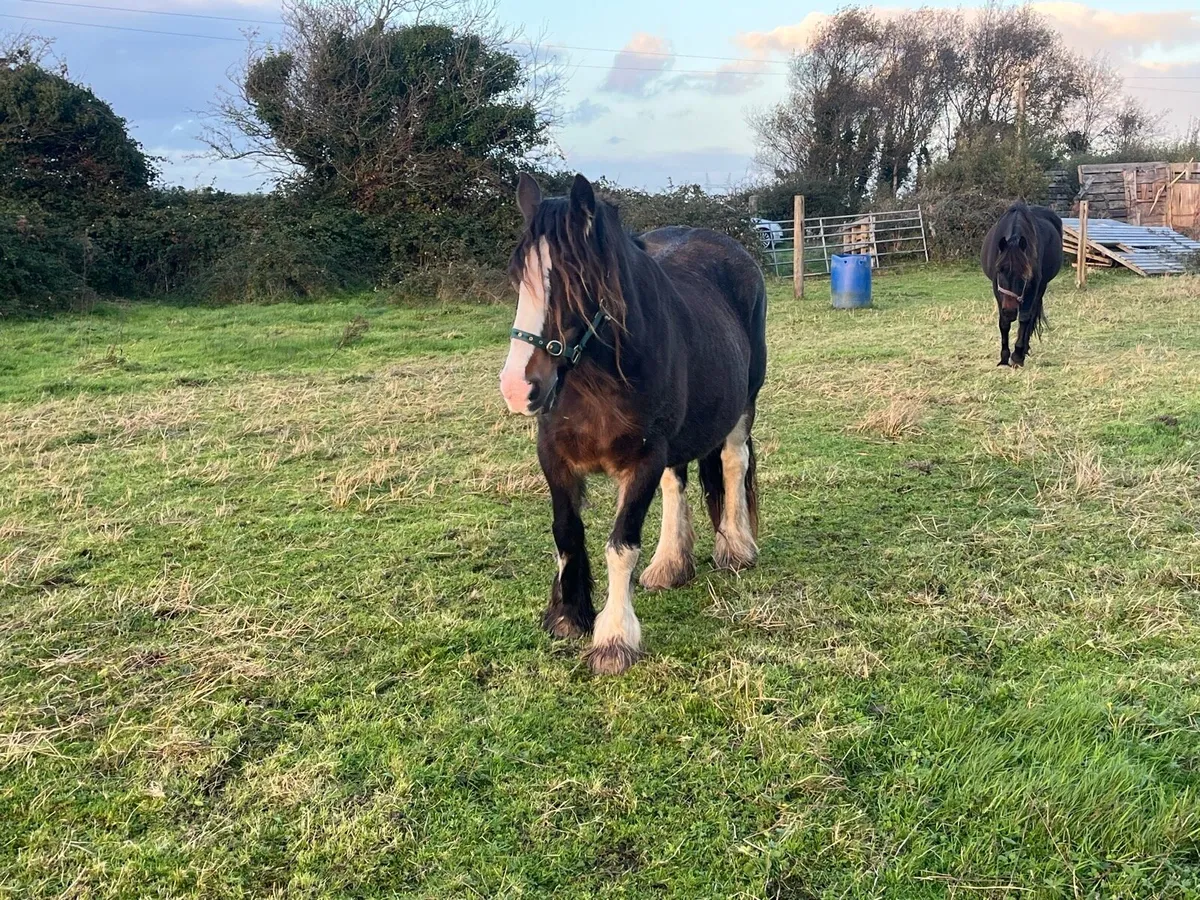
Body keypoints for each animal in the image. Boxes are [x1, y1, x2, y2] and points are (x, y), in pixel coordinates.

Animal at [498, 173, 768, 675]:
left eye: (576, 280)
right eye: (517, 278)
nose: (517, 388)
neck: (597, 379)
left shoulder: (643, 458)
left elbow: (621, 546)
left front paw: (614, 639)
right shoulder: (554, 457)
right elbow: (567, 533)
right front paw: (568, 613)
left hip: (744, 404)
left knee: (733, 462)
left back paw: (736, 548)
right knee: (676, 483)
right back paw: (670, 564)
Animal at [980, 202, 1063, 367]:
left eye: (1025, 274)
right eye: (999, 270)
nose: (1010, 311)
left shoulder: (1034, 286)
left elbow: (1024, 318)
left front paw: (1017, 356)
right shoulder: (997, 289)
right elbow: (1004, 323)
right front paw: (1004, 358)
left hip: (1041, 288)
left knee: (1030, 317)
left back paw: (1023, 349)